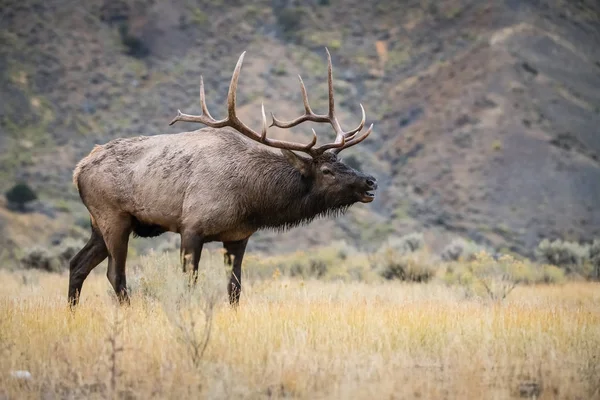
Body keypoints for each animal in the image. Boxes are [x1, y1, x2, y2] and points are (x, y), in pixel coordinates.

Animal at [70, 49, 378, 306]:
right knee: (115, 274)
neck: (251, 200)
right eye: (326, 171)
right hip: (114, 218)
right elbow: (189, 283)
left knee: (77, 264)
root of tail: (78, 169)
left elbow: (235, 289)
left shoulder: (238, 237)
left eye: (342, 162)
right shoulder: (191, 227)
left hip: (99, 224)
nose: (370, 181)